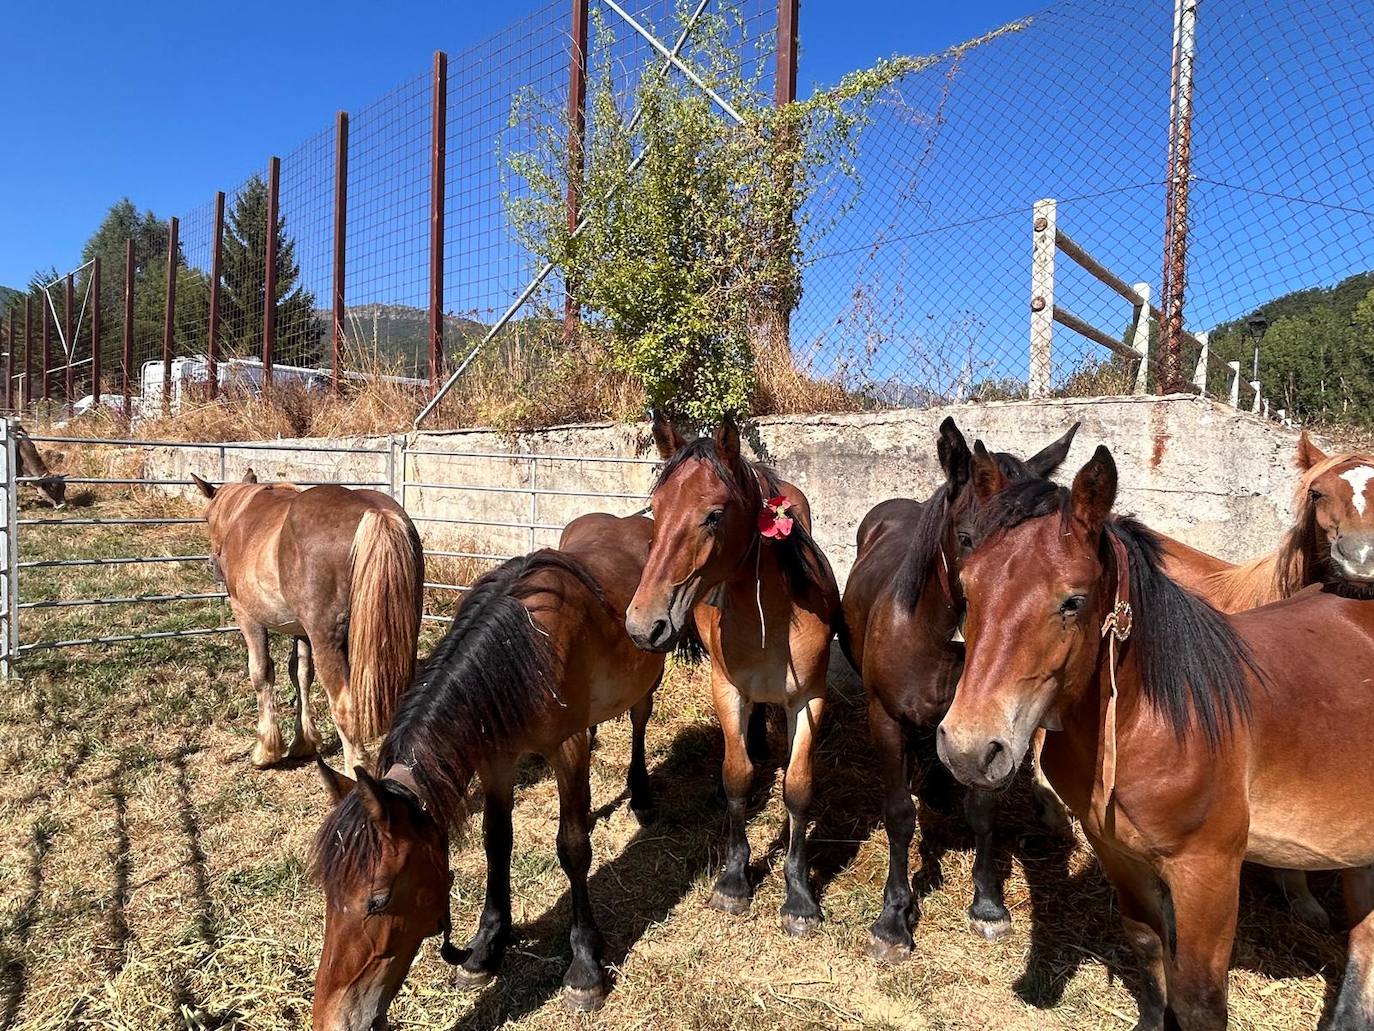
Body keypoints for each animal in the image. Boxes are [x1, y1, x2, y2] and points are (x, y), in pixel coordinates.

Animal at [190, 472, 420, 769]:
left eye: (206, 518)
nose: (212, 565)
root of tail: (375, 513)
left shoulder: (247, 617)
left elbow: (261, 672)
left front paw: (266, 749)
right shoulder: (301, 632)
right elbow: (301, 674)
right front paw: (303, 742)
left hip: (328, 645)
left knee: (345, 707)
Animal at [309, 514, 662, 1028]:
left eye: (378, 900)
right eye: (328, 894)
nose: (332, 1020)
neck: (526, 647)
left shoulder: (567, 749)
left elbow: (573, 847)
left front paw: (584, 966)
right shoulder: (497, 758)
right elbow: (497, 841)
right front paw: (485, 948)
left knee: (639, 719)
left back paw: (640, 796)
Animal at [626, 412, 835, 934]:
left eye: (715, 515)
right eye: (655, 509)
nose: (642, 625)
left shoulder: (810, 699)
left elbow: (798, 788)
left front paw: (799, 896)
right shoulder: (727, 690)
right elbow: (736, 777)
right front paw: (734, 879)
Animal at [840, 415, 1077, 967]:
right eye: (968, 538)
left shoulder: (987, 737)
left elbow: (983, 812)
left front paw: (988, 905)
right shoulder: (886, 720)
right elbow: (899, 815)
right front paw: (893, 921)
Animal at [939, 445, 1374, 1031]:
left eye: (1073, 601)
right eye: (967, 586)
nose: (969, 748)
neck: (1153, 724)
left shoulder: (1207, 873)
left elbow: (1200, 999)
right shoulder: (1117, 853)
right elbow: (1147, 946)